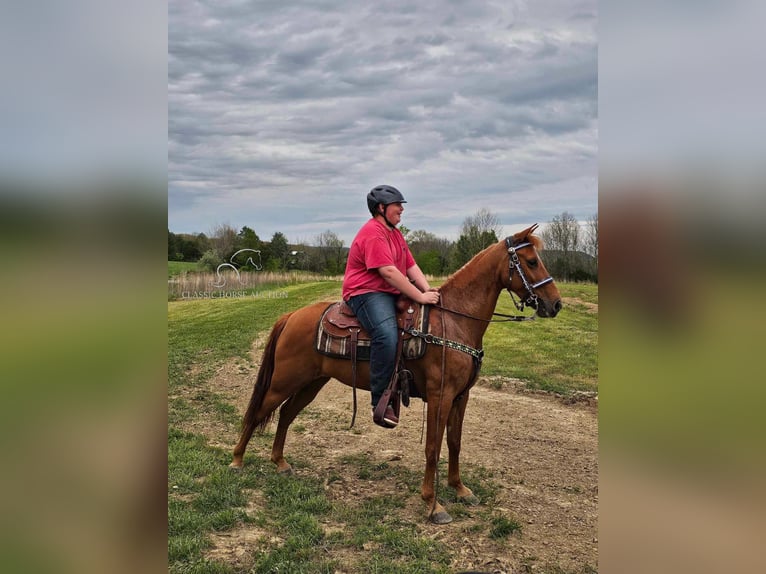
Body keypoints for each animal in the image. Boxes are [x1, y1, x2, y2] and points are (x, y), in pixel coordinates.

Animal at [230, 225, 564, 528]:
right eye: (531, 261)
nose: (556, 304)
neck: (454, 322)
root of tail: (291, 316)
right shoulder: (440, 397)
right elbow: (433, 447)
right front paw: (433, 503)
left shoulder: (461, 396)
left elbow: (454, 443)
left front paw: (460, 489)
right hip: (284, 381)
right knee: (258, 412)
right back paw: (237, 460)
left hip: (311, 383)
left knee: (286, 413)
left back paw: (280, 462)